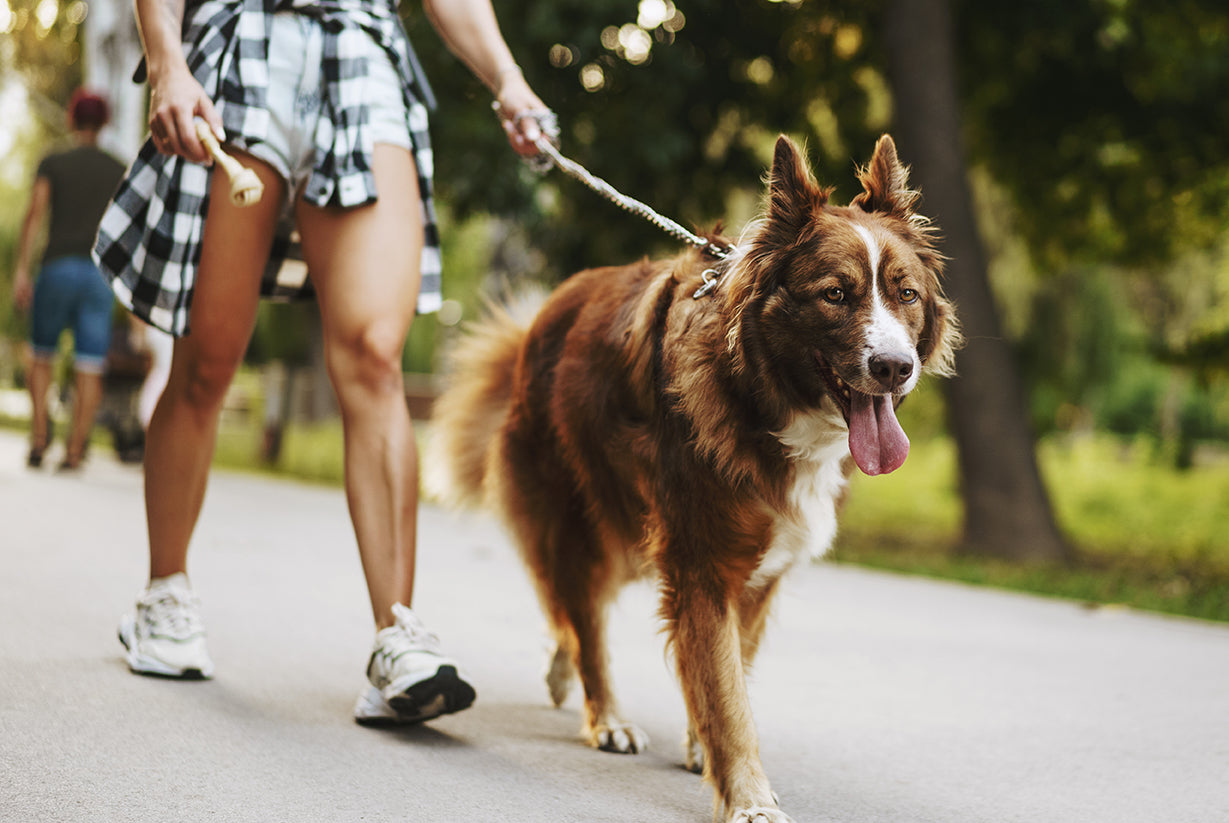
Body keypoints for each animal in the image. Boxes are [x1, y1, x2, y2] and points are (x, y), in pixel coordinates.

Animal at [430, 136, 958, 823]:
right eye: (836, 295)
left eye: (906, 295)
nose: (895, 367)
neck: (759, 394)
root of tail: (538, 321)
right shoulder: (703, 562)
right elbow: (726, 691)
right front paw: (749, 798)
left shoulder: (755, 574)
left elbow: (728, 669)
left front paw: (705, 748)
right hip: (583, 519)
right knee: (583, 614)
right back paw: (605, 715)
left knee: (575, 608)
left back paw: (562, 672)